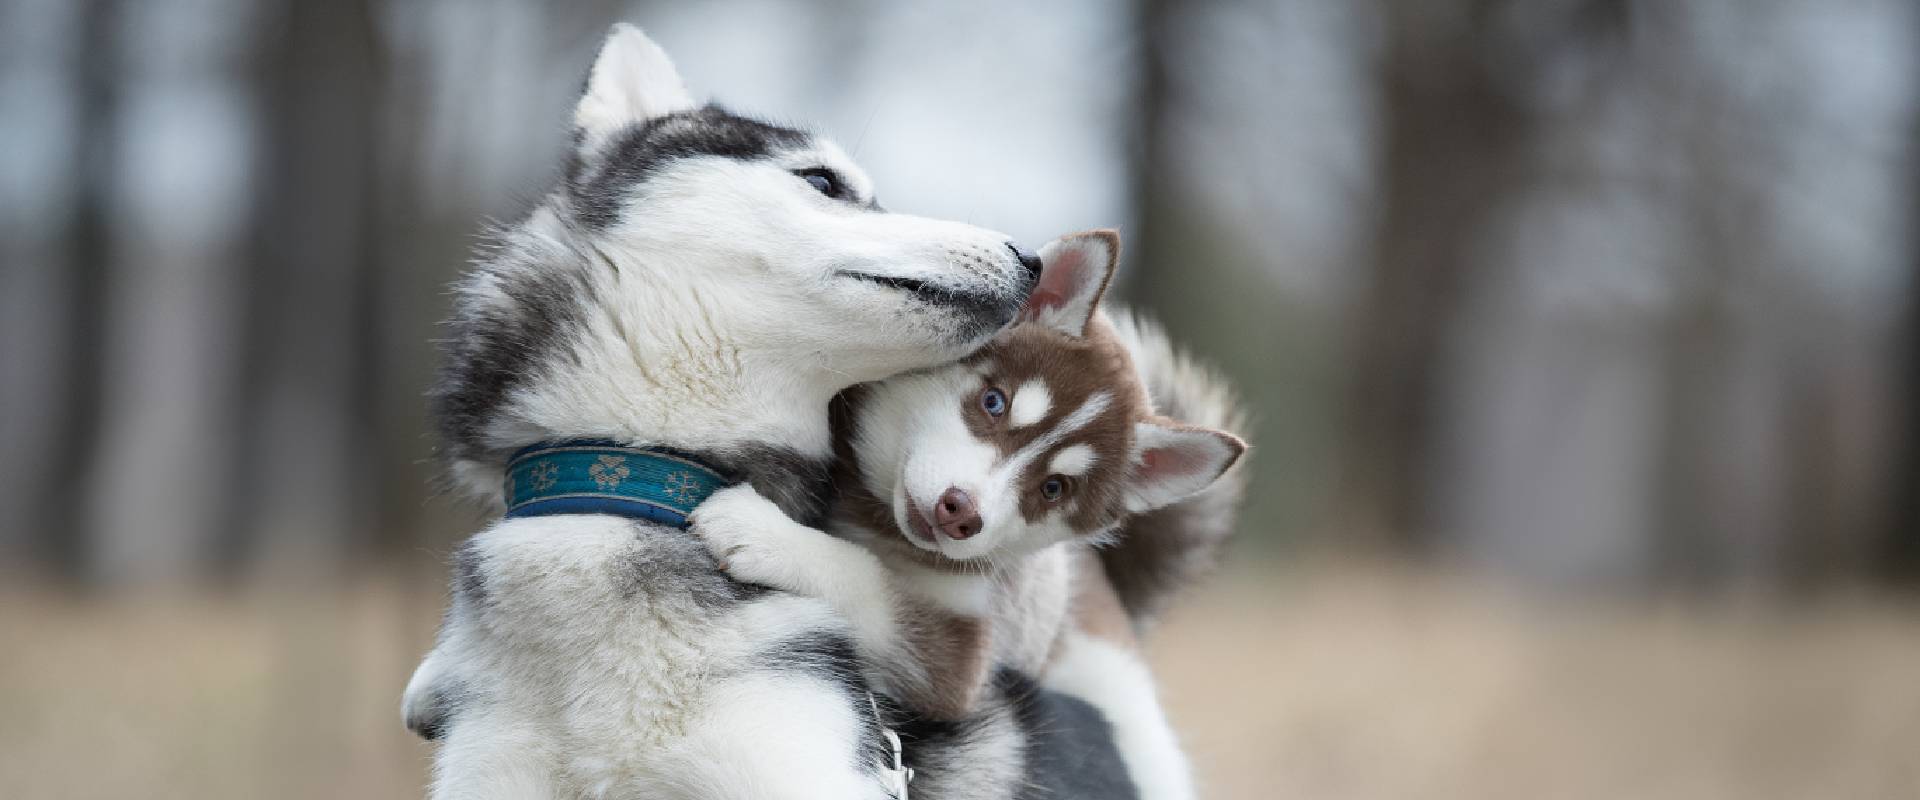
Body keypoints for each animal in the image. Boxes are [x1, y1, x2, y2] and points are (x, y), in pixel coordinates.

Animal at [691, 227, 1244, 794]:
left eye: (1053, 488)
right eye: (994, 403)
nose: (960, 513)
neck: (874, 515)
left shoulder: (960, 664)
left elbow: (869, 578)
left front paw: (763, 534)